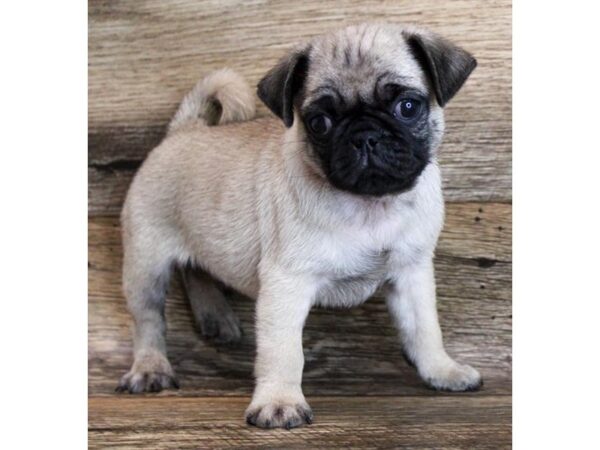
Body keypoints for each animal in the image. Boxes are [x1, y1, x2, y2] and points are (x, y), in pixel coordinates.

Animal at [116, 22, 482, 428]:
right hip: (146, 261)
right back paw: (151, 368)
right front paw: (279, 403)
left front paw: (442, 371)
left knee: (198, 269)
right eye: (319, 122)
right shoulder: (286, 284)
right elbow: (284, 351)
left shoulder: (411, 272)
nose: (365, 136)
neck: (370, 204)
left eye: (407, 107)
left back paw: (217, 318)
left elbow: (425, 329)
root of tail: (184, 130)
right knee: (149, 318)